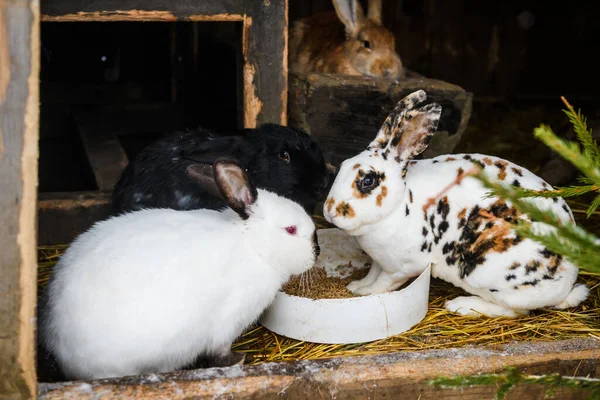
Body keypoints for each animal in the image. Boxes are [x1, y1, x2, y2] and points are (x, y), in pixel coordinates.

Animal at [39, 158, 316, 380]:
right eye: (291, 230)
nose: (317, 251)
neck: (253, 244)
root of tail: (60, 348)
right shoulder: (228, 322)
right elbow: (220, 352)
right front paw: (238, 360)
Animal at [324, 90, 592, 318]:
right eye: (341, 166)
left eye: (367, 181)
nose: (329, 211)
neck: (400, 202)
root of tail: (567, 283)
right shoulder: (379, 262)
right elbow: (372, 274)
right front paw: (356, 286)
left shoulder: (400, 268)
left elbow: (383, 284)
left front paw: (363, 293)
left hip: (487, 274)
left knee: (515, 311)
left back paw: (460, 305)